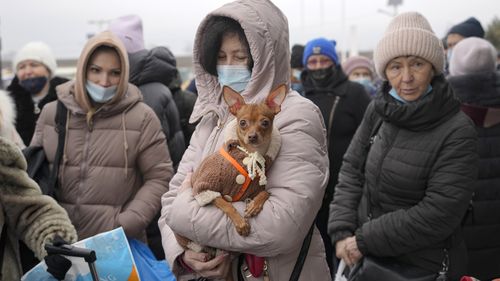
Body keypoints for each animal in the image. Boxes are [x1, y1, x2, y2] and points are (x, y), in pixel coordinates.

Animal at [175, 84, 286, 258]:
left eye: (265, 123)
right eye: (242, 123)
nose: (252, 136)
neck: (251, 154)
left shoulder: (254, 190)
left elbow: (264, 193)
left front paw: (254, 206)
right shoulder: (206, 188)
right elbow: (227, 205)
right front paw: (241, 223)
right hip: (189, 241)